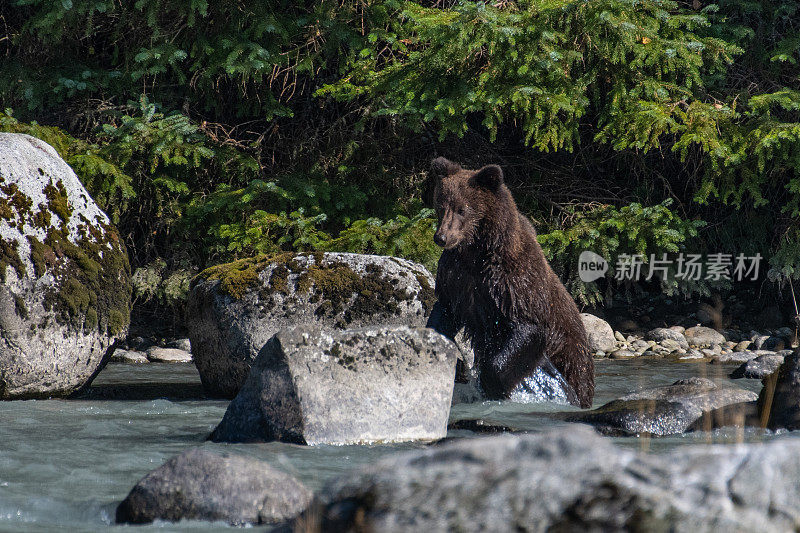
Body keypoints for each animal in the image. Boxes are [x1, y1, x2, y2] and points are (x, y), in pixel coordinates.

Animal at [424, 158, 592, 408]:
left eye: (462, 209)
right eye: (441, 206)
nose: (441, 237)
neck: (476, 251)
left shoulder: (512, 282)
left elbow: (527, 326)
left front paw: (492, 382)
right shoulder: (455, 279)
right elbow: (444, 313)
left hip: (573, 357)